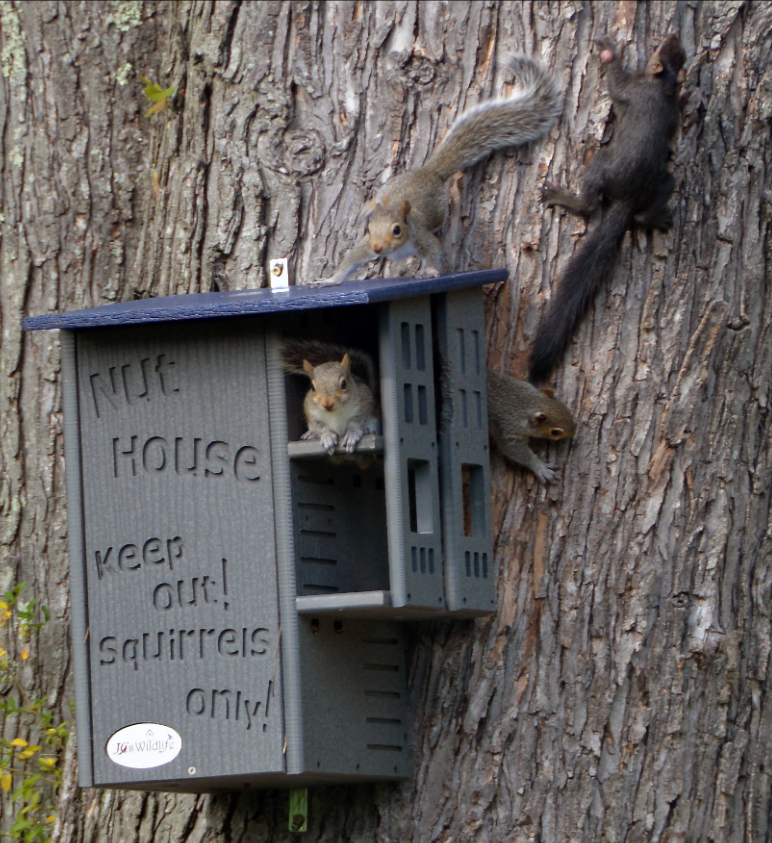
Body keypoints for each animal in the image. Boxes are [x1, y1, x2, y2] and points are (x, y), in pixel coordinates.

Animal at [318, 55, 561, 286]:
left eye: (396, 230)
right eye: (369, 230)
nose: (378, 249)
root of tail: (429, 172)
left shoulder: (421, 238)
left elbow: (434, 250)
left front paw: (430, 272)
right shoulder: (366, 245)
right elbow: (351, 259)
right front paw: (329, 280)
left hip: (440, 207)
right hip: (393, 184)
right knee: (381, 195)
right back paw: (369, 205)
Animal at [528, 35, 686, 384]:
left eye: (660, 52)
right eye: (674, 53)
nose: (673, 37)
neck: (659, 87)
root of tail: (627, 199)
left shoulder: (631, 90)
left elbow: (615, 84)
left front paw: (609, 51)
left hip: (601, 163)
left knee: (589, 205)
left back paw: (563, 197)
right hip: (664, 182)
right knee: (645, 210)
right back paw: (657, 216)